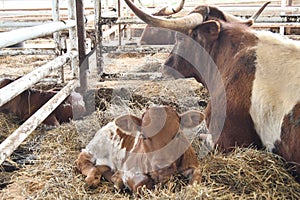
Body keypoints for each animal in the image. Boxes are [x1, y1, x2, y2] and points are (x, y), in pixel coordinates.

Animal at [76, 105, 205, 193]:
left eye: (178, 134)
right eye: (143, 136)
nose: (163, 166)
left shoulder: (193, 165)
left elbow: (196, 178)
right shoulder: (130, 169)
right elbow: (142, 183)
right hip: (95, 148)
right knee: (83, 160)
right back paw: (93, 179)